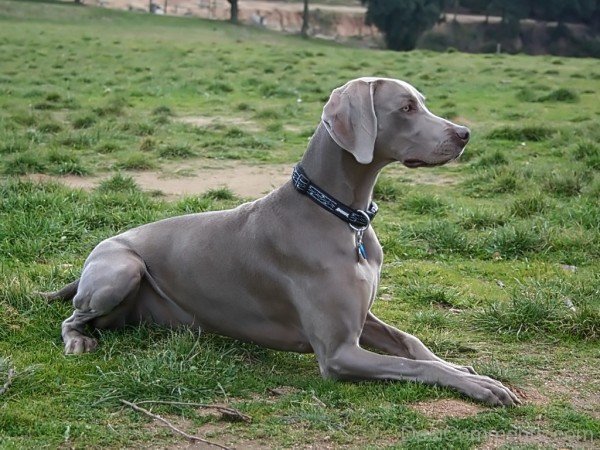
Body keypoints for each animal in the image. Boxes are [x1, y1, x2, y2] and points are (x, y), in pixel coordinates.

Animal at [50, 77, 520, 408]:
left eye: (421, 101)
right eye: (405, 108)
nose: (464, 133)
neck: (342, 216)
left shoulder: (363, 319)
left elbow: (413, 345)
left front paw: (463, 366)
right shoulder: (338, 352)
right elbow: (411, 365)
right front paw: (480, 386)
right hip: (122, 269)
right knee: (71, 318)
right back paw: (78, 342)